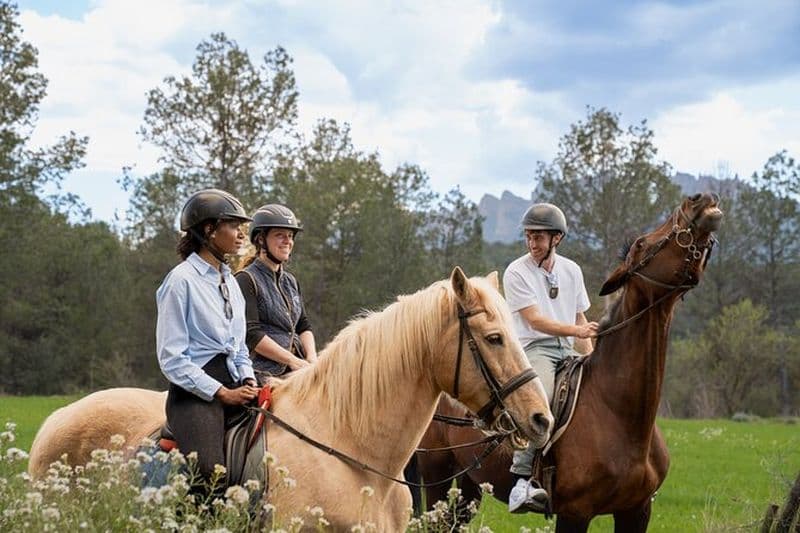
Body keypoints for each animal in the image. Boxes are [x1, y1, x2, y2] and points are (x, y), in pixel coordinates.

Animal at [411, 193, 723, 532]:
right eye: (641, 243)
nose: (699, 200)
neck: (620, 414)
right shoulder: (575, 512)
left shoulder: (637, 511)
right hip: (438, 476)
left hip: (470, 484)